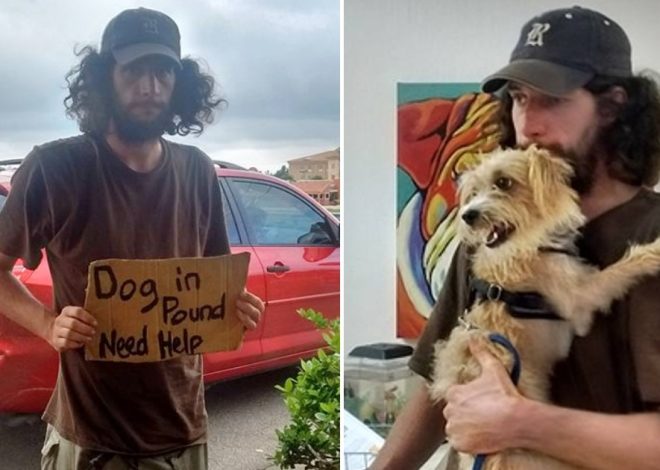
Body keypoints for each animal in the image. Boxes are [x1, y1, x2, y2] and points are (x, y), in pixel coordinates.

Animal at [430, 145, 660, 468]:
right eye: (473, 192)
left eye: (503, 182)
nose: (467, 215)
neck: (532, 244)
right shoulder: (580, 302)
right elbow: (624, 266)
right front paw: (655, 252)